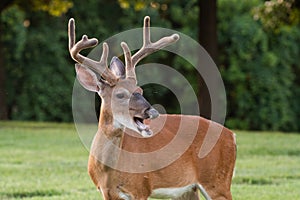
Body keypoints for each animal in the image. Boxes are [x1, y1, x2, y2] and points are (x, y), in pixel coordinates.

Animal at [68, 16, 237, 200]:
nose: (152, 112)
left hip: (217, 181)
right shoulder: (106, 192)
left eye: (140, 90)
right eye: (120, 95)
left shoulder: (140, 188)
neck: (108, 171)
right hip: (189, 189)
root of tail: (232, 135)